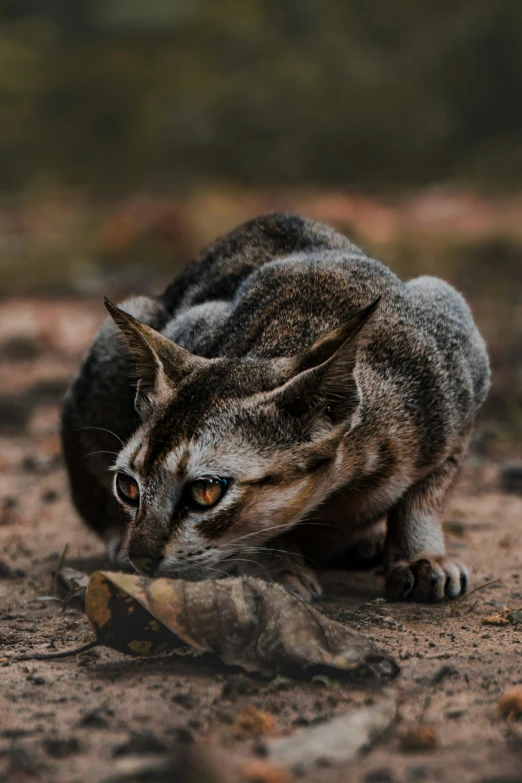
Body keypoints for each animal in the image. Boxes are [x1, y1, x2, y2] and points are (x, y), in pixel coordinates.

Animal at [60, 211, 488, 604]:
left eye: (205, 491)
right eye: (127, 487)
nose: (141, 556)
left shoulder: (462, 378)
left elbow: (424, 497)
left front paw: (422, 557)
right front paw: (273, 570)